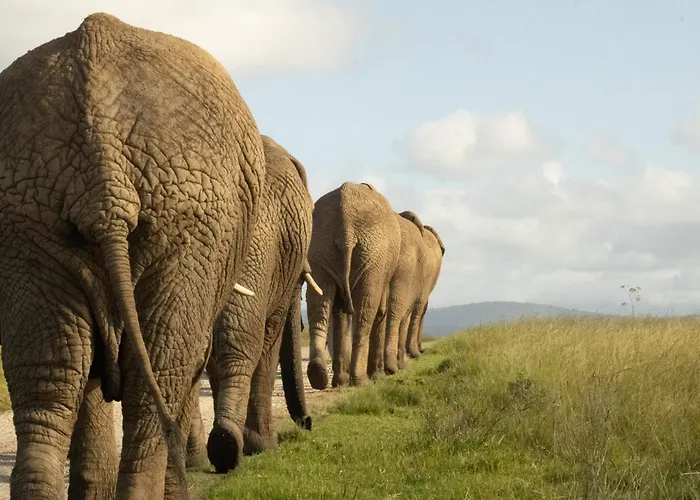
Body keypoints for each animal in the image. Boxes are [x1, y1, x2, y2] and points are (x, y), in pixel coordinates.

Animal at [184, 135, 319, 474]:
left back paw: (207, 453)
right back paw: (229, 448)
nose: (308, 422)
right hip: (255, 245)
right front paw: (263, 447)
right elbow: (268, 341)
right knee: (244, 338)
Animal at [306, 182, 401, 389]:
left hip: (320, 246)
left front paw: (340, 381)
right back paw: (360, 381)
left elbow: (339, 312)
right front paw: (377, 376)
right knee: (366, 312)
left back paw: (320, 376)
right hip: (373, 254)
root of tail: (346, 230)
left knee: (319, 304)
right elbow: (380, 311)